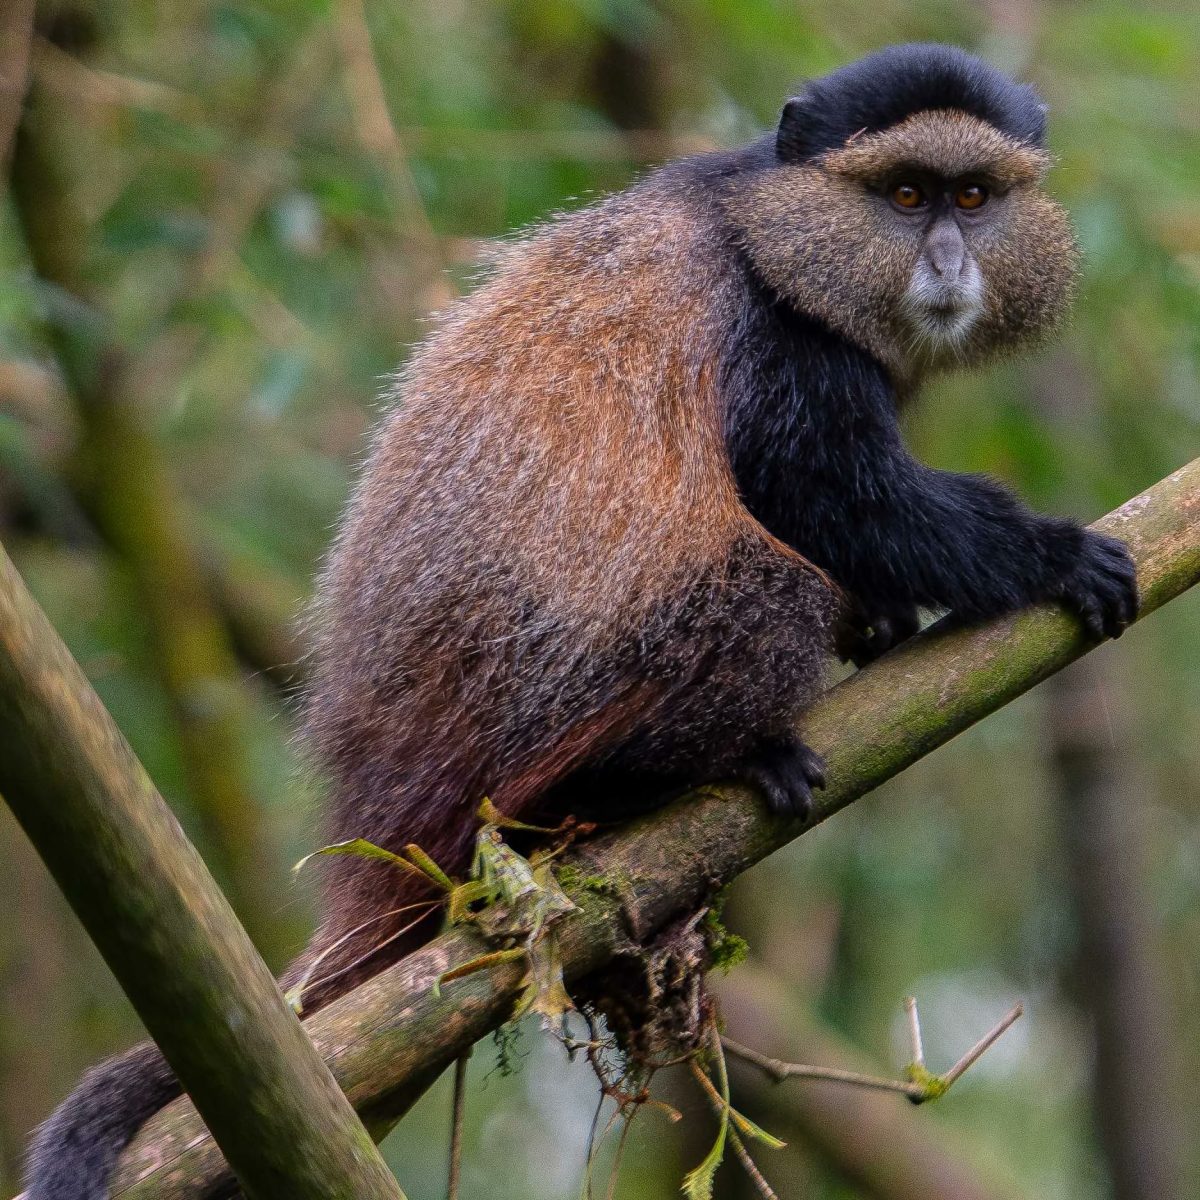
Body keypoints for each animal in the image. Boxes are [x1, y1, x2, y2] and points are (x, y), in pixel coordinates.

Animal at [25, 43, 1137, 1198]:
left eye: (974, 196)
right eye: (907, 196)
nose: (950, 262)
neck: (766, 227)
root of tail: (377, 814)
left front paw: (881, 617)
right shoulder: (780, 342)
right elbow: (831, 491)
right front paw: (1050, 556)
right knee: (765, 589)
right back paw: (667, 776)